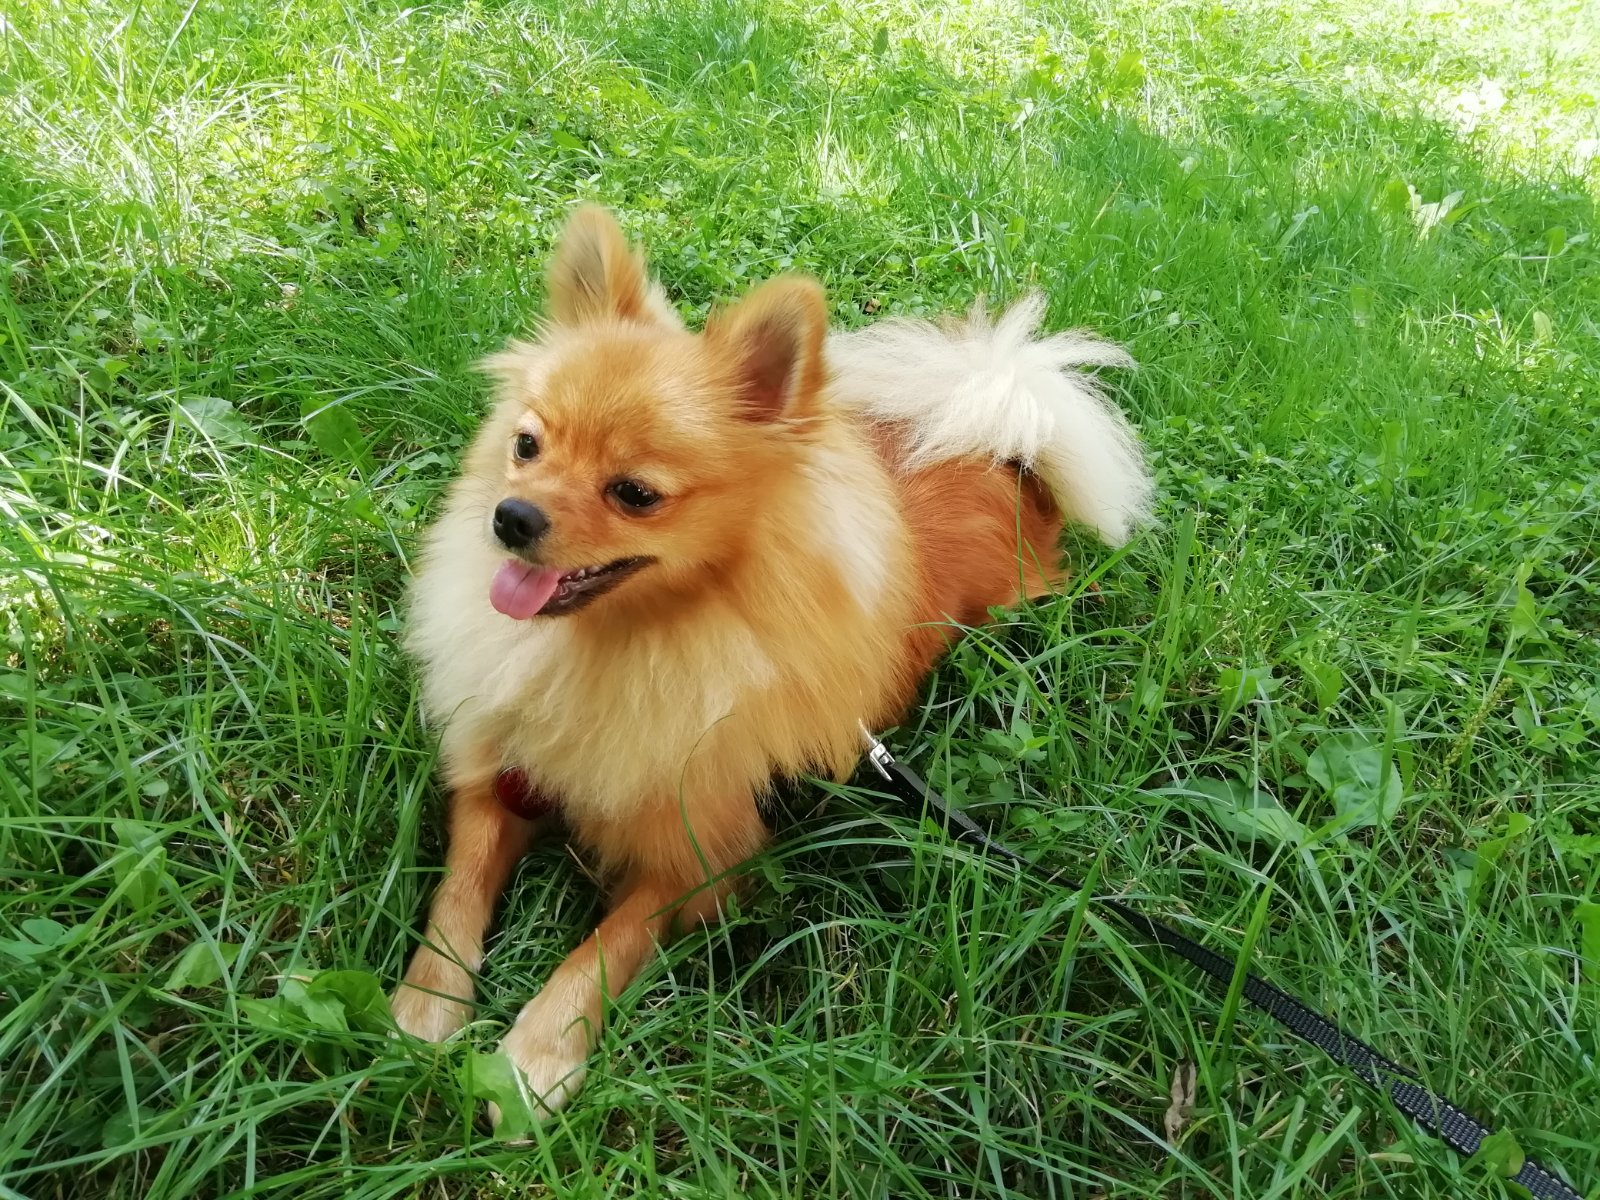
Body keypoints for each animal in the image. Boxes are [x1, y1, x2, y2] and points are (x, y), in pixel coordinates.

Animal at [391, 205, 1151, 1122]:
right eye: (527, 445)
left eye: (635, 494)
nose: (510, 516)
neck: (620, 643)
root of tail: (1002, 450)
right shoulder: (495, 776)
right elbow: (459, 888)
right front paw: (429, 1003)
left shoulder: (704, 858)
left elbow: (607, 945)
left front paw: (535, 1055)